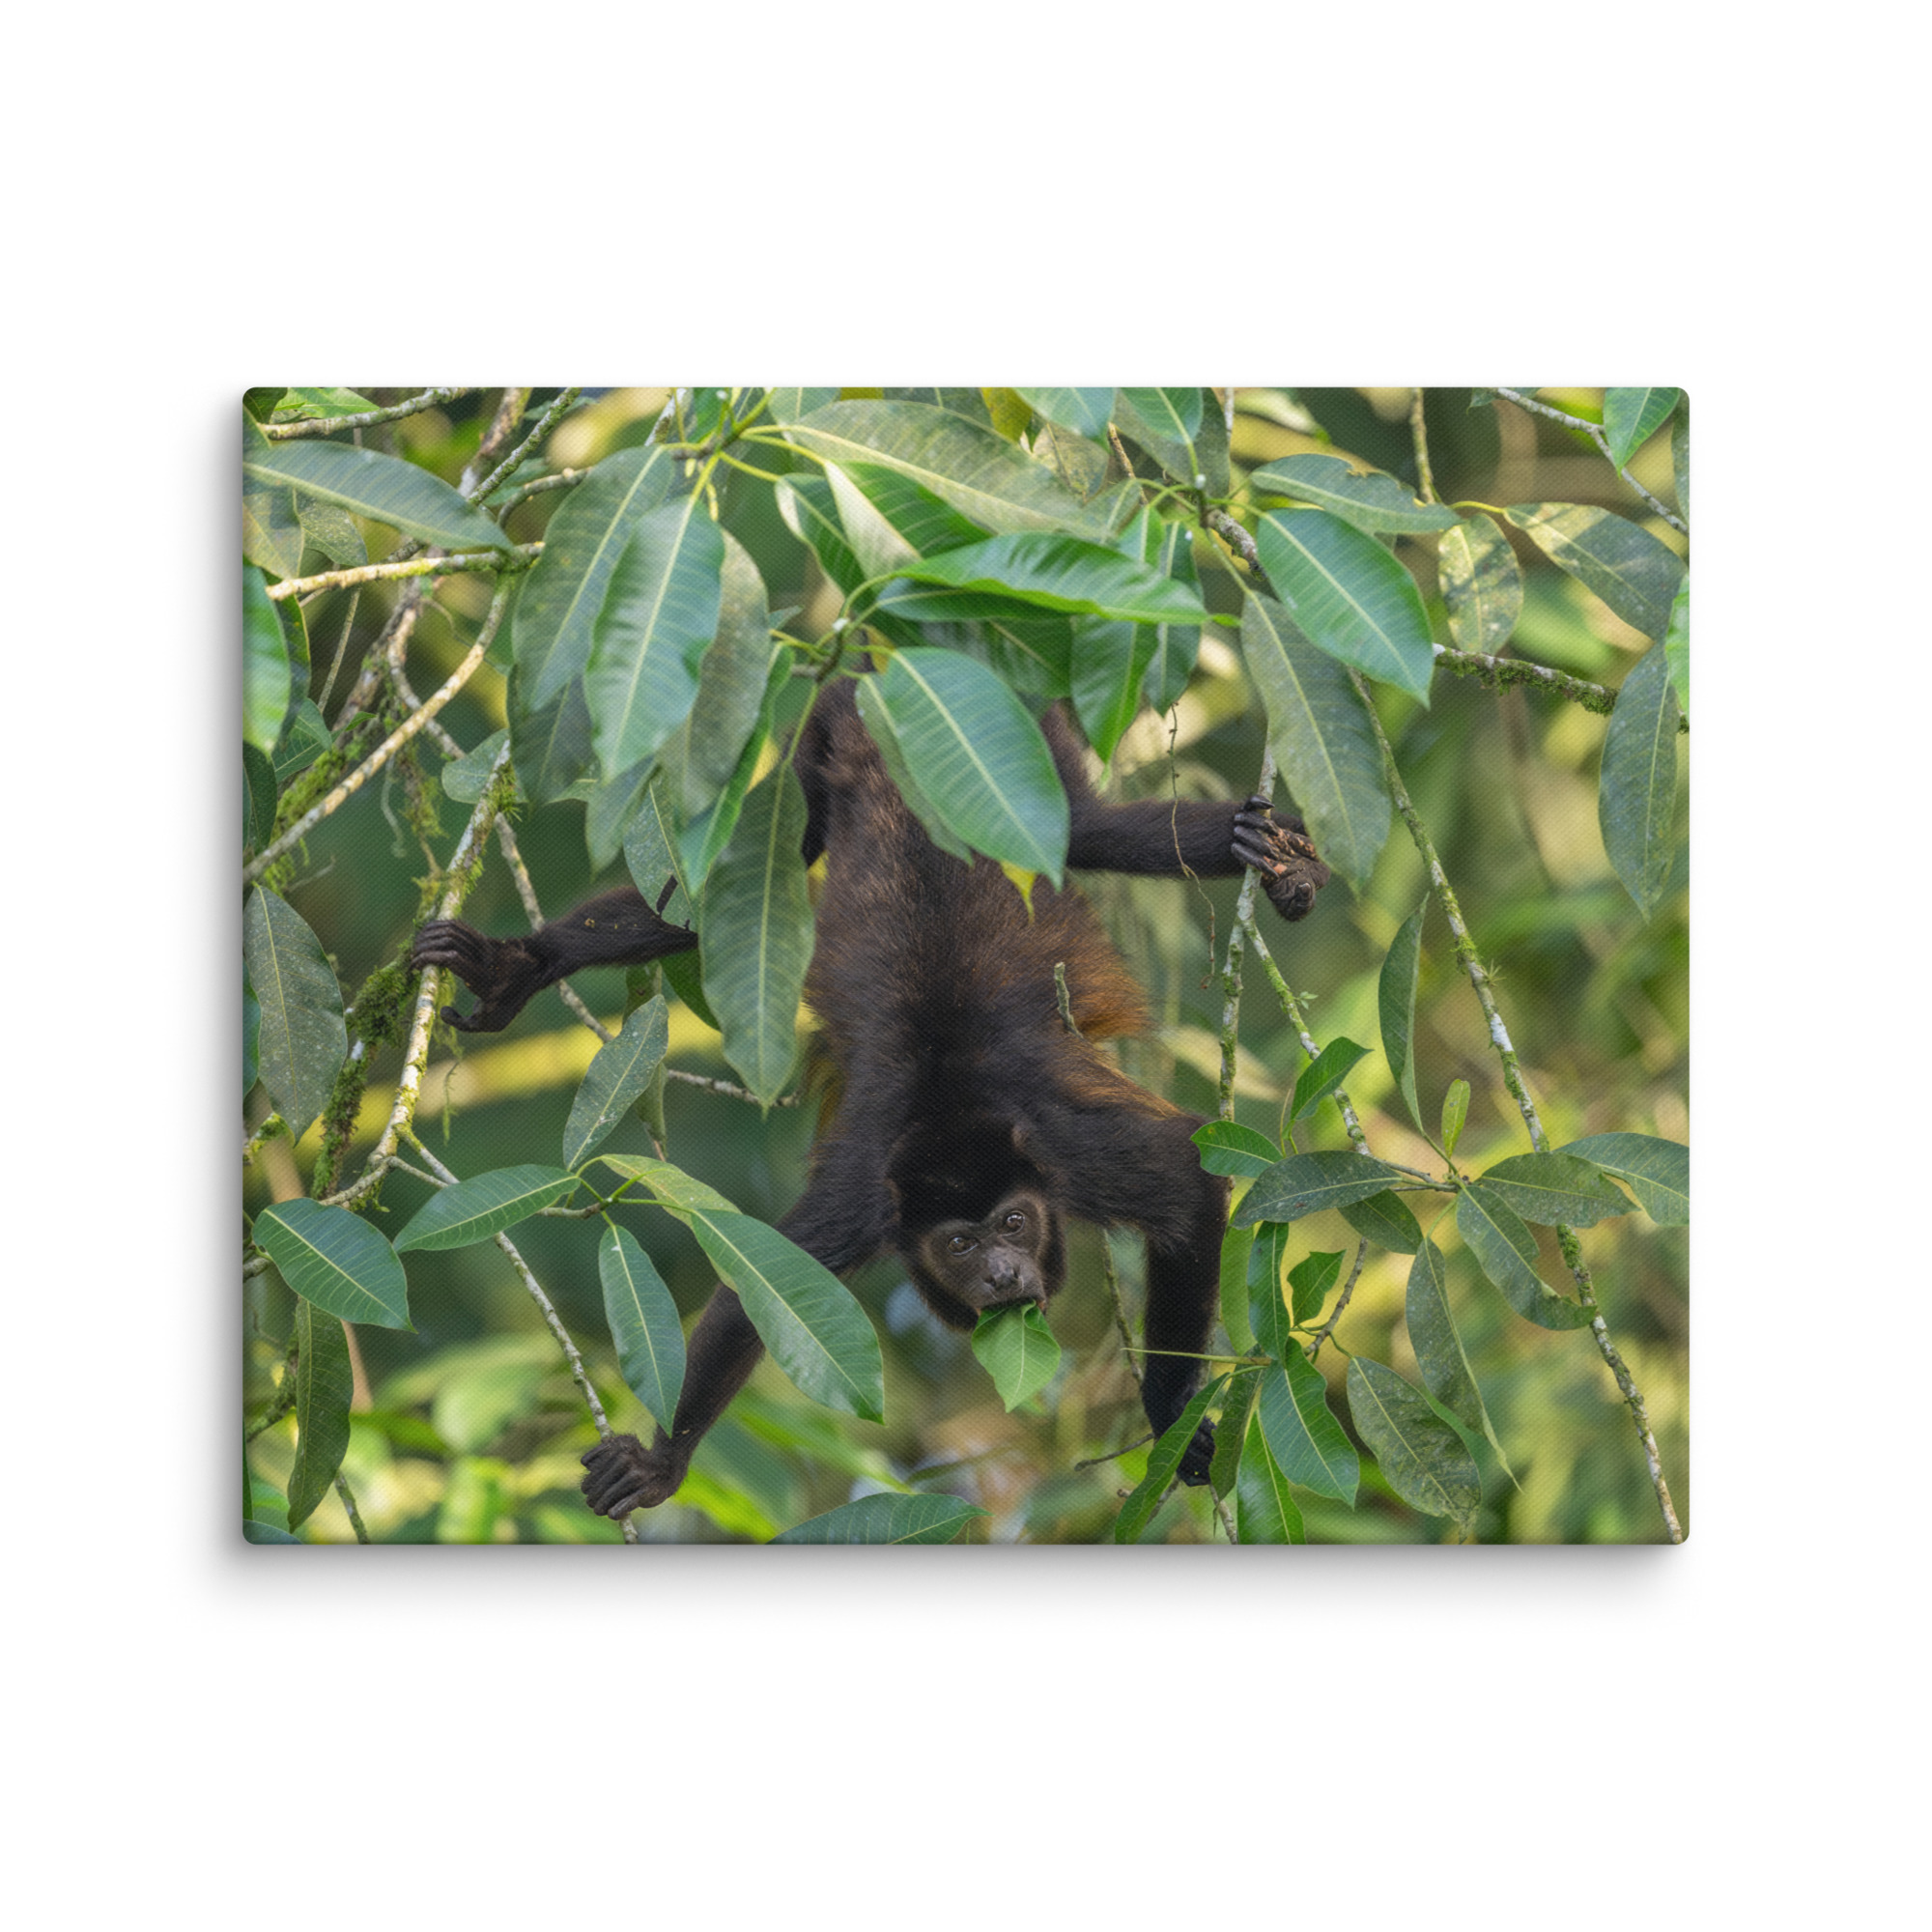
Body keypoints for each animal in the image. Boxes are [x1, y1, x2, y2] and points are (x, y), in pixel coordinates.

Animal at [410, 679, 1329, 1517]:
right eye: (959, 1243)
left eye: (1013, 1223)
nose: (1001, 1273)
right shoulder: (864, 1198)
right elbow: (764, 1286)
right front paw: (662, 1464)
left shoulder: (1069, 1152)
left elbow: (1186, 1177)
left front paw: (1171, 1414)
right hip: (819, 765)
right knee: (732, 888)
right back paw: (521, 965)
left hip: (1025, 750)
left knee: (1098, 830)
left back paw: (1275, 859)